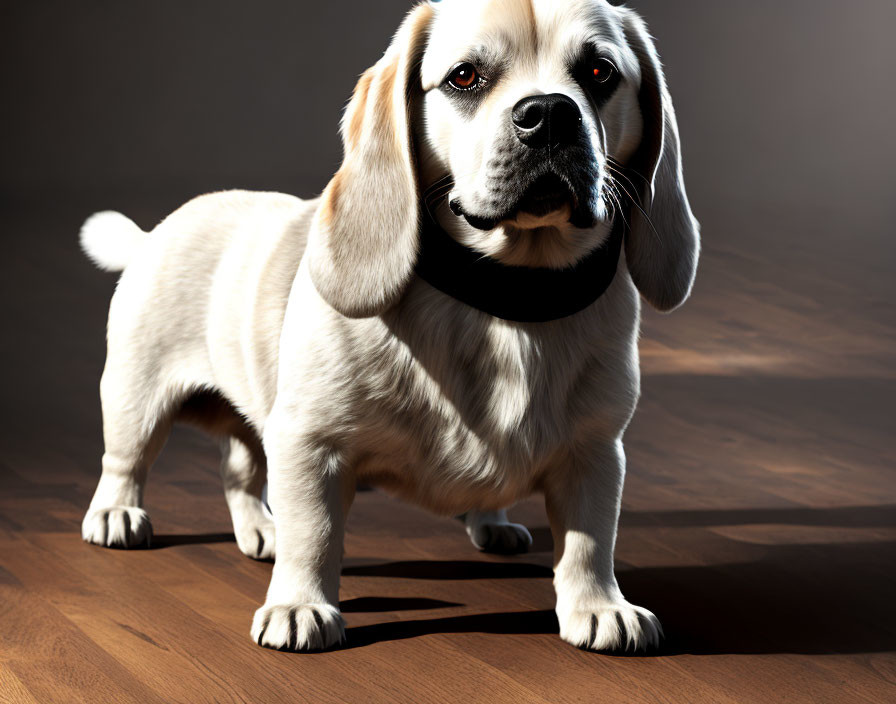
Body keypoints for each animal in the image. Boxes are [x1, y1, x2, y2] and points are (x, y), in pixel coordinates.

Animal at [80, 0, 700, 656]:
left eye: (600, 72)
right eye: (464, 77)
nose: (551, 112)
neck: (507, 297)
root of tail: (154, 233)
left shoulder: (595, 452)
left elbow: (589, 541)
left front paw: (600, 606)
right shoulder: (311, 442)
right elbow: (315, 533)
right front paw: (300, 604)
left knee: (238, 473)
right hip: (136, 398)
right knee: (126, 462)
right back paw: (117, 515)